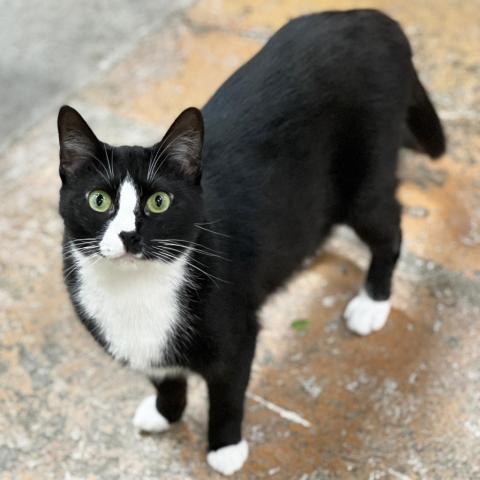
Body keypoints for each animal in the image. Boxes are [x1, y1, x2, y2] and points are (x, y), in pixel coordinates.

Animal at [57, 9, 446, 474]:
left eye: (159, 201)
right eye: (99, 200)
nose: (129, 235)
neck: (136, 289)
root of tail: (375, 16)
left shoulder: (237, 333)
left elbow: (227, 393)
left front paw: (224, 448)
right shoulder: (142, 343)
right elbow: (163, 375)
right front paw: (166, 411)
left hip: (366, 175)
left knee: (389, 227)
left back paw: (373, 301)